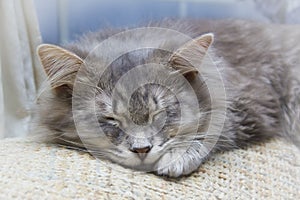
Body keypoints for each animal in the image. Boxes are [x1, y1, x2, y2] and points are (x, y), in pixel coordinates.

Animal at [32, 19, 300, 177]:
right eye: (110, 119)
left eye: (159, 114)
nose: (142, 150)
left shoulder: (246, 105)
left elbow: (210, 130)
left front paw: (176, 159)